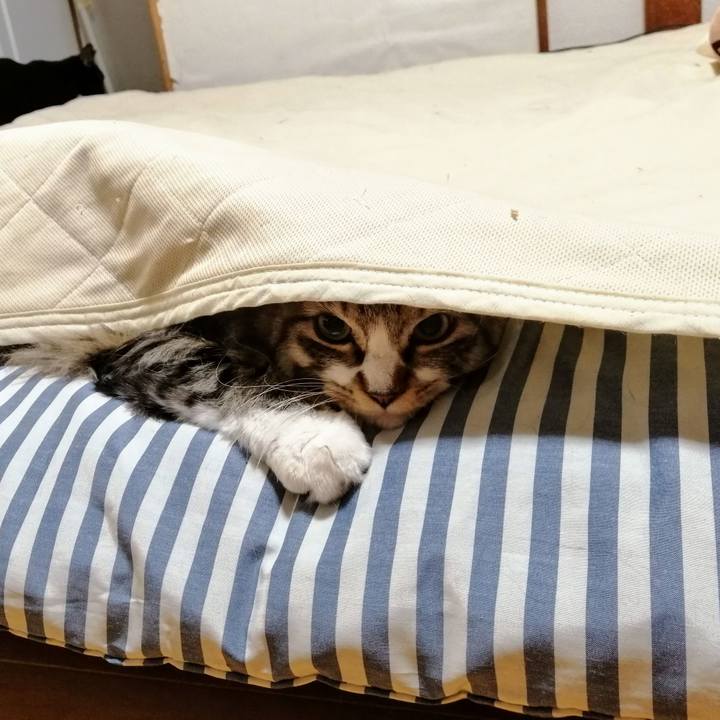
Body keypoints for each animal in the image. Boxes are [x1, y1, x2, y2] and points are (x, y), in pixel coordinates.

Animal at [1, 303, 506, 503]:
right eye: (332, 328)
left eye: (434, 327)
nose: (384, 395)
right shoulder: (129, 334)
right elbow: (222, 375)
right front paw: (315, 438)